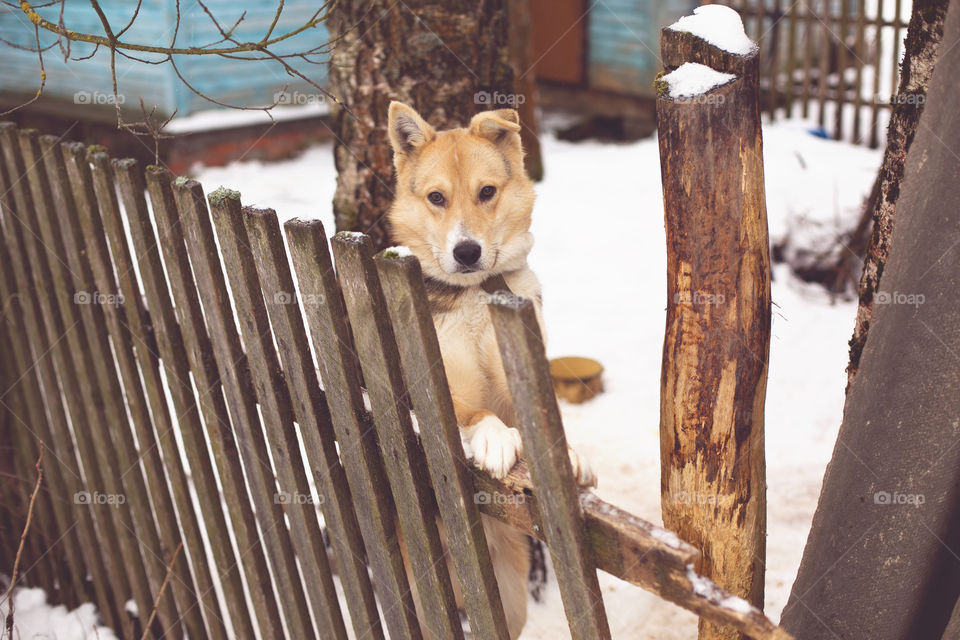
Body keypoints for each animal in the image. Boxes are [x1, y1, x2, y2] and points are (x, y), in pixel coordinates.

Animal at [386, 102, 596, 636]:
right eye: (436, 198)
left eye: (486, 192)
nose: (466, 252)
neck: (478, 293)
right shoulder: (428, 387)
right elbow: (469, 411)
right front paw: (495, 438)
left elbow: (546, 421)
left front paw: (572, 453)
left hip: (510, 596)